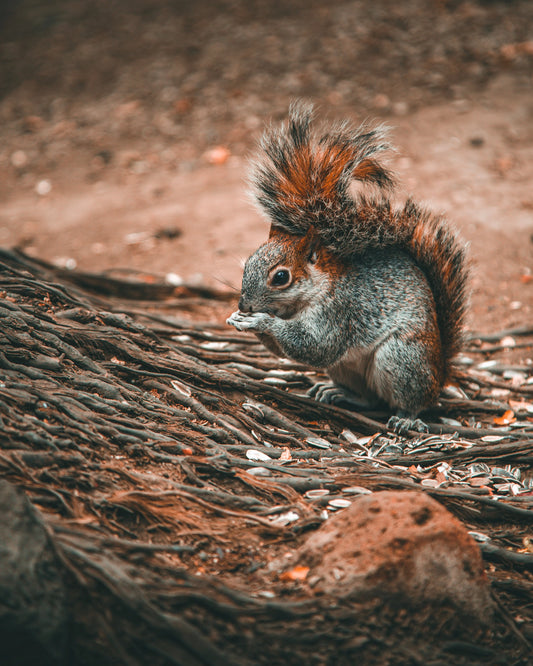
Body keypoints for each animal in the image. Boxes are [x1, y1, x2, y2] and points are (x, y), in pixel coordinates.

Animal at [227, 97, 468, 430]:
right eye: (247, 263)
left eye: (280, 277)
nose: (244, 305)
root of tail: (441, 371)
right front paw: (240, 319)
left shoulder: (339, 312)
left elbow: (315, 346)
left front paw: (261, 321)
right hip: (346, 369)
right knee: (370, 398)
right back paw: (338, 393)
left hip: (402, 357)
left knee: (413, 400)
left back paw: (406, 418)